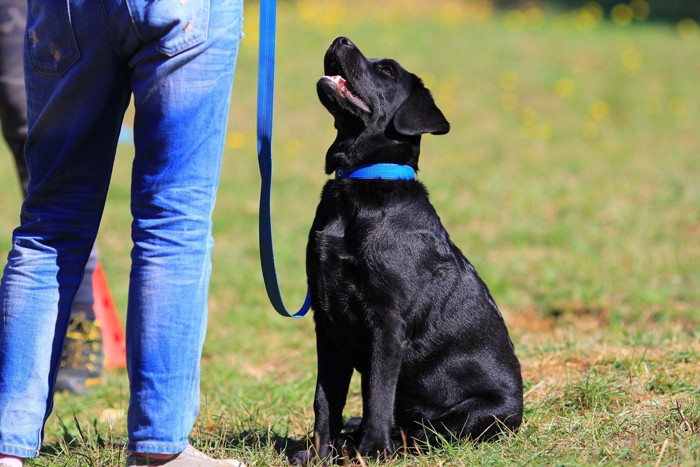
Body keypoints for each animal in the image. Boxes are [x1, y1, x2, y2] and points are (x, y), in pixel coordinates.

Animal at [302, 35, 524, 460]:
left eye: (386, 69)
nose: (340, 39)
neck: (360, 187)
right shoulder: (327, 321)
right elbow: (326, 398)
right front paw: (319, 454)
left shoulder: (387, 321)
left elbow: (377, 393)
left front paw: (371, 451)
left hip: (476, 414)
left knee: (428, 433)